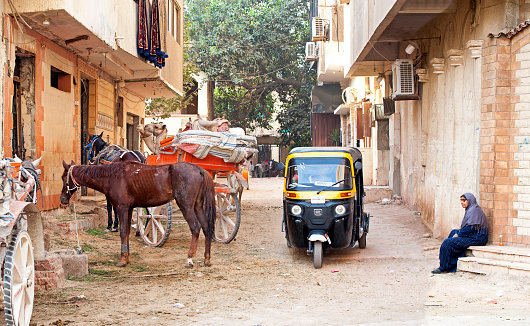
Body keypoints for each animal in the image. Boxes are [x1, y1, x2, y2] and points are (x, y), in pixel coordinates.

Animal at [61, 160, 217, 268]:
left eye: (63, 178)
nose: (62, 199)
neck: (112, 175)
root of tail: (199, 169)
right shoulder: (129, 209)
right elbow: (127, 231)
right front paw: (126, 257)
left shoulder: (122, 208)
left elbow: (123, 232)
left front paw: (123, 260)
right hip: (197, 206)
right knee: (206, 227)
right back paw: (207, 259)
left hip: (186, 205)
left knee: (195, 228)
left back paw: (189, 259)